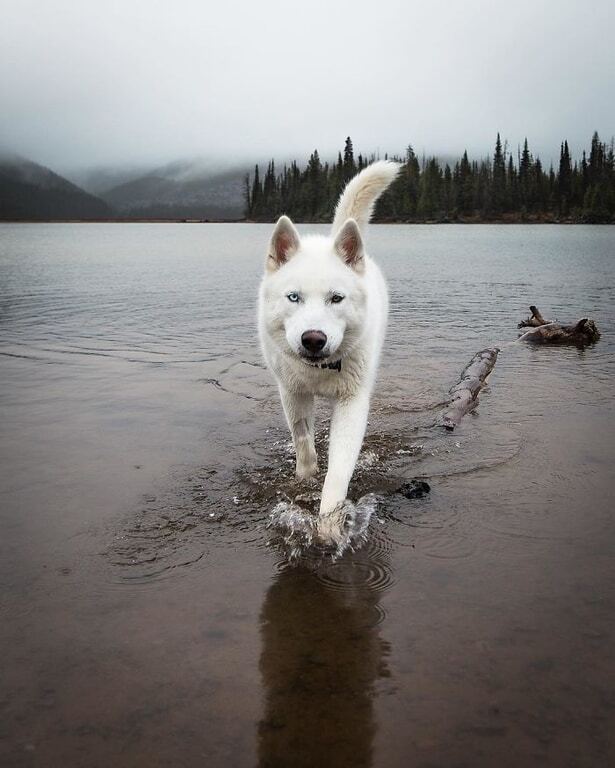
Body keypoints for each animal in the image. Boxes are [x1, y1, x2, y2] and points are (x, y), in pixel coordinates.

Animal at [258, 159, 402, 536]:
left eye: (336, 298)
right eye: (294, 297)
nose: (313, 338)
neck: (320, 370)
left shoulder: (352, 402)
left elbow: (338, 471)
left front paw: (329, 525)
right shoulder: (292, 393)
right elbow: (304, 445)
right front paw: (305, 479)